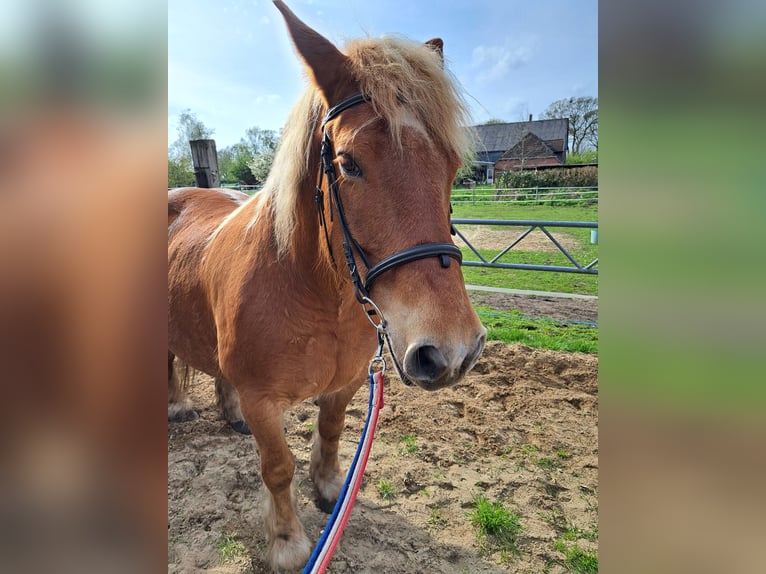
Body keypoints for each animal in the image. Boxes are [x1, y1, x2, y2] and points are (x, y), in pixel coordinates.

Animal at [171, 2, 488, 572]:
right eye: (348, 163)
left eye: (452, 165)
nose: (452, 350)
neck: (319, 300)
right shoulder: (263, 401)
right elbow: (277, 468)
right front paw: (287, 543)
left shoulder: (347, 382)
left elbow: (333, 431)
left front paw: (328, 490)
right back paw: (179, 406)